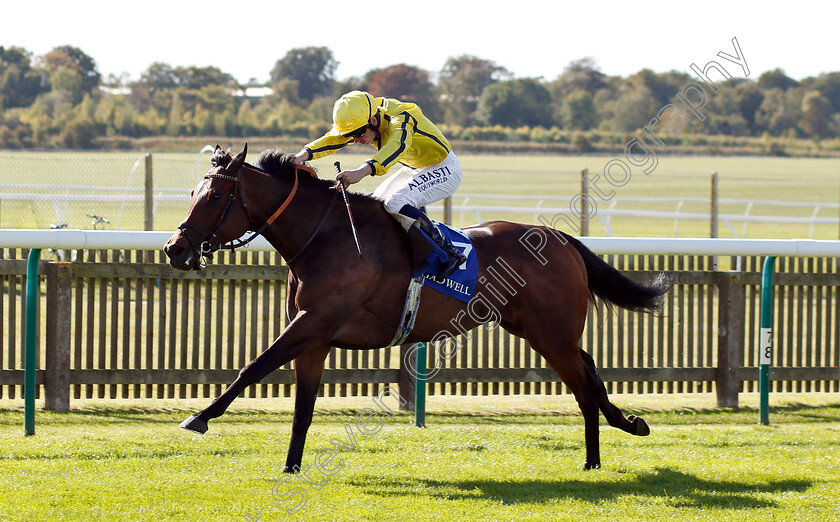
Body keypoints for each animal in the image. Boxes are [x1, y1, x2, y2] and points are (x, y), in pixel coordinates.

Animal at [164, 144, 668, 470]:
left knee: (583, 385)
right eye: (191, 195)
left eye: (213, 196)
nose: (174, 249)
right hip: (542, 331)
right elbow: (302, 406)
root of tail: (562, 238)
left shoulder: (314, 323)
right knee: (590, 371)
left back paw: (597, 457)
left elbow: (253, 366)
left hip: (551, 335)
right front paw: (291, 467)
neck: (325, 236)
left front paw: (199, 417)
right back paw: (623, 430)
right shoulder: (315, 337)